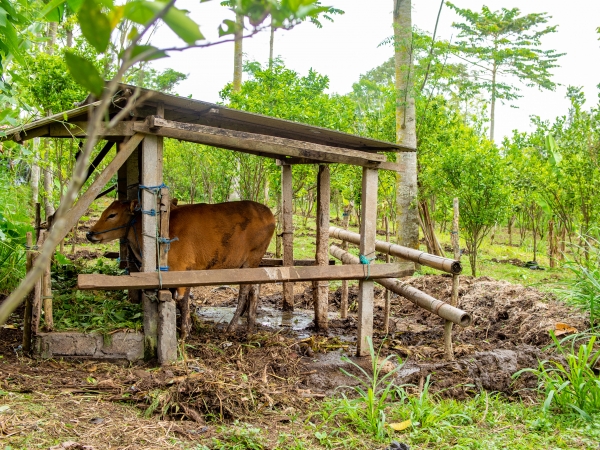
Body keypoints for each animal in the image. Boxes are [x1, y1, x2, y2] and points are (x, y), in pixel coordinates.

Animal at [87, 200, 276, 338]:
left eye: (112, 214)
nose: (90, 233)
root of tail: (269, 213)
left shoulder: (182, 269)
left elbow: (181, 300)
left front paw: (185, 332)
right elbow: (179, 301)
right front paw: (188, 326)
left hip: (252, 259)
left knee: (245, 290)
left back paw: (232, 327)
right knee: (255, 287)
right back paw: (250, 329)